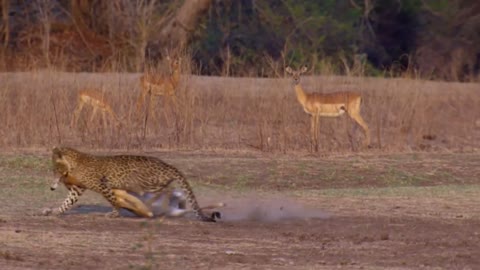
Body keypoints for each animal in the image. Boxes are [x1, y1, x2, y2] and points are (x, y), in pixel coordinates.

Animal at [44, 148, 220, 221]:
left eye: (56, 169)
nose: (52, 186)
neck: (74, 164)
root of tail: (168, 165)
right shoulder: (77, 189)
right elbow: (67, 202)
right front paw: (55, 211)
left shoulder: (102, 186)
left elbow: (113, 200)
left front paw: (114, 214)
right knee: (173, 191)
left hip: (146, 183)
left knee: (169, 189)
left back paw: (152, 204)